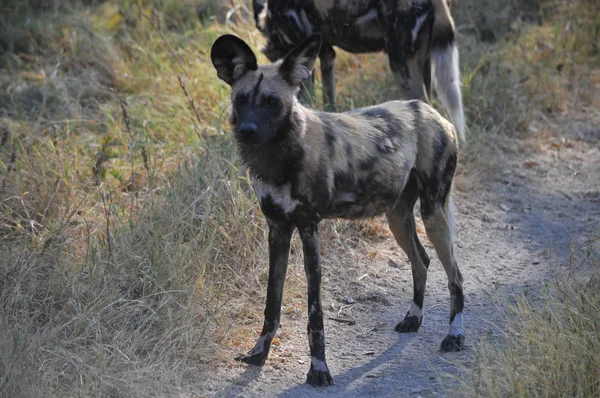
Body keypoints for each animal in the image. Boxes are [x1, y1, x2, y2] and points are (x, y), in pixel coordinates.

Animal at [213, 32, 466, 388]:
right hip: (397, 218)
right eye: (242, 99)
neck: (279, 157)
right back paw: (413, 318)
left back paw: (454, 335)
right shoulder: (277, 229)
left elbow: (315, 315)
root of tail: (428, 109)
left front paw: (318, 370)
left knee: (455, 275)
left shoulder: (308, 229)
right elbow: (271, 304)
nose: (247, 130)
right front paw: (259, 354)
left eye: (272, 102)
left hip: (433, 214)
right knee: (422, 261)